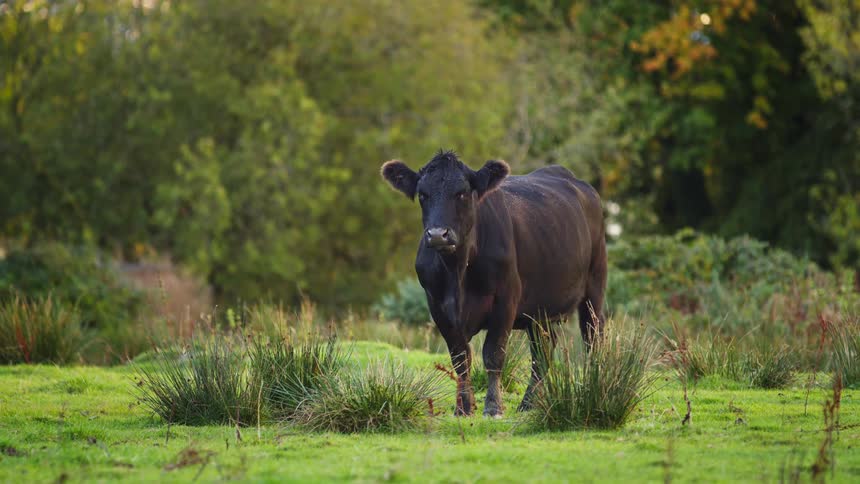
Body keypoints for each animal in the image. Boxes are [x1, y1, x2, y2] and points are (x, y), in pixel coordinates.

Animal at [381, 150, 606, 417]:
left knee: (592, 337)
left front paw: (492, 406)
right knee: (543, 351)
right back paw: (529, 403)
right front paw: (463, 407)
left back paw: (593, 387)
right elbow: (460, 357)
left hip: (594, 287)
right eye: (422, 194)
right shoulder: (437, 305)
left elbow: (493, 354)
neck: (458, 272)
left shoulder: (506, 299)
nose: (437, 235)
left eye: (462, 193)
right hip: (541, 308)